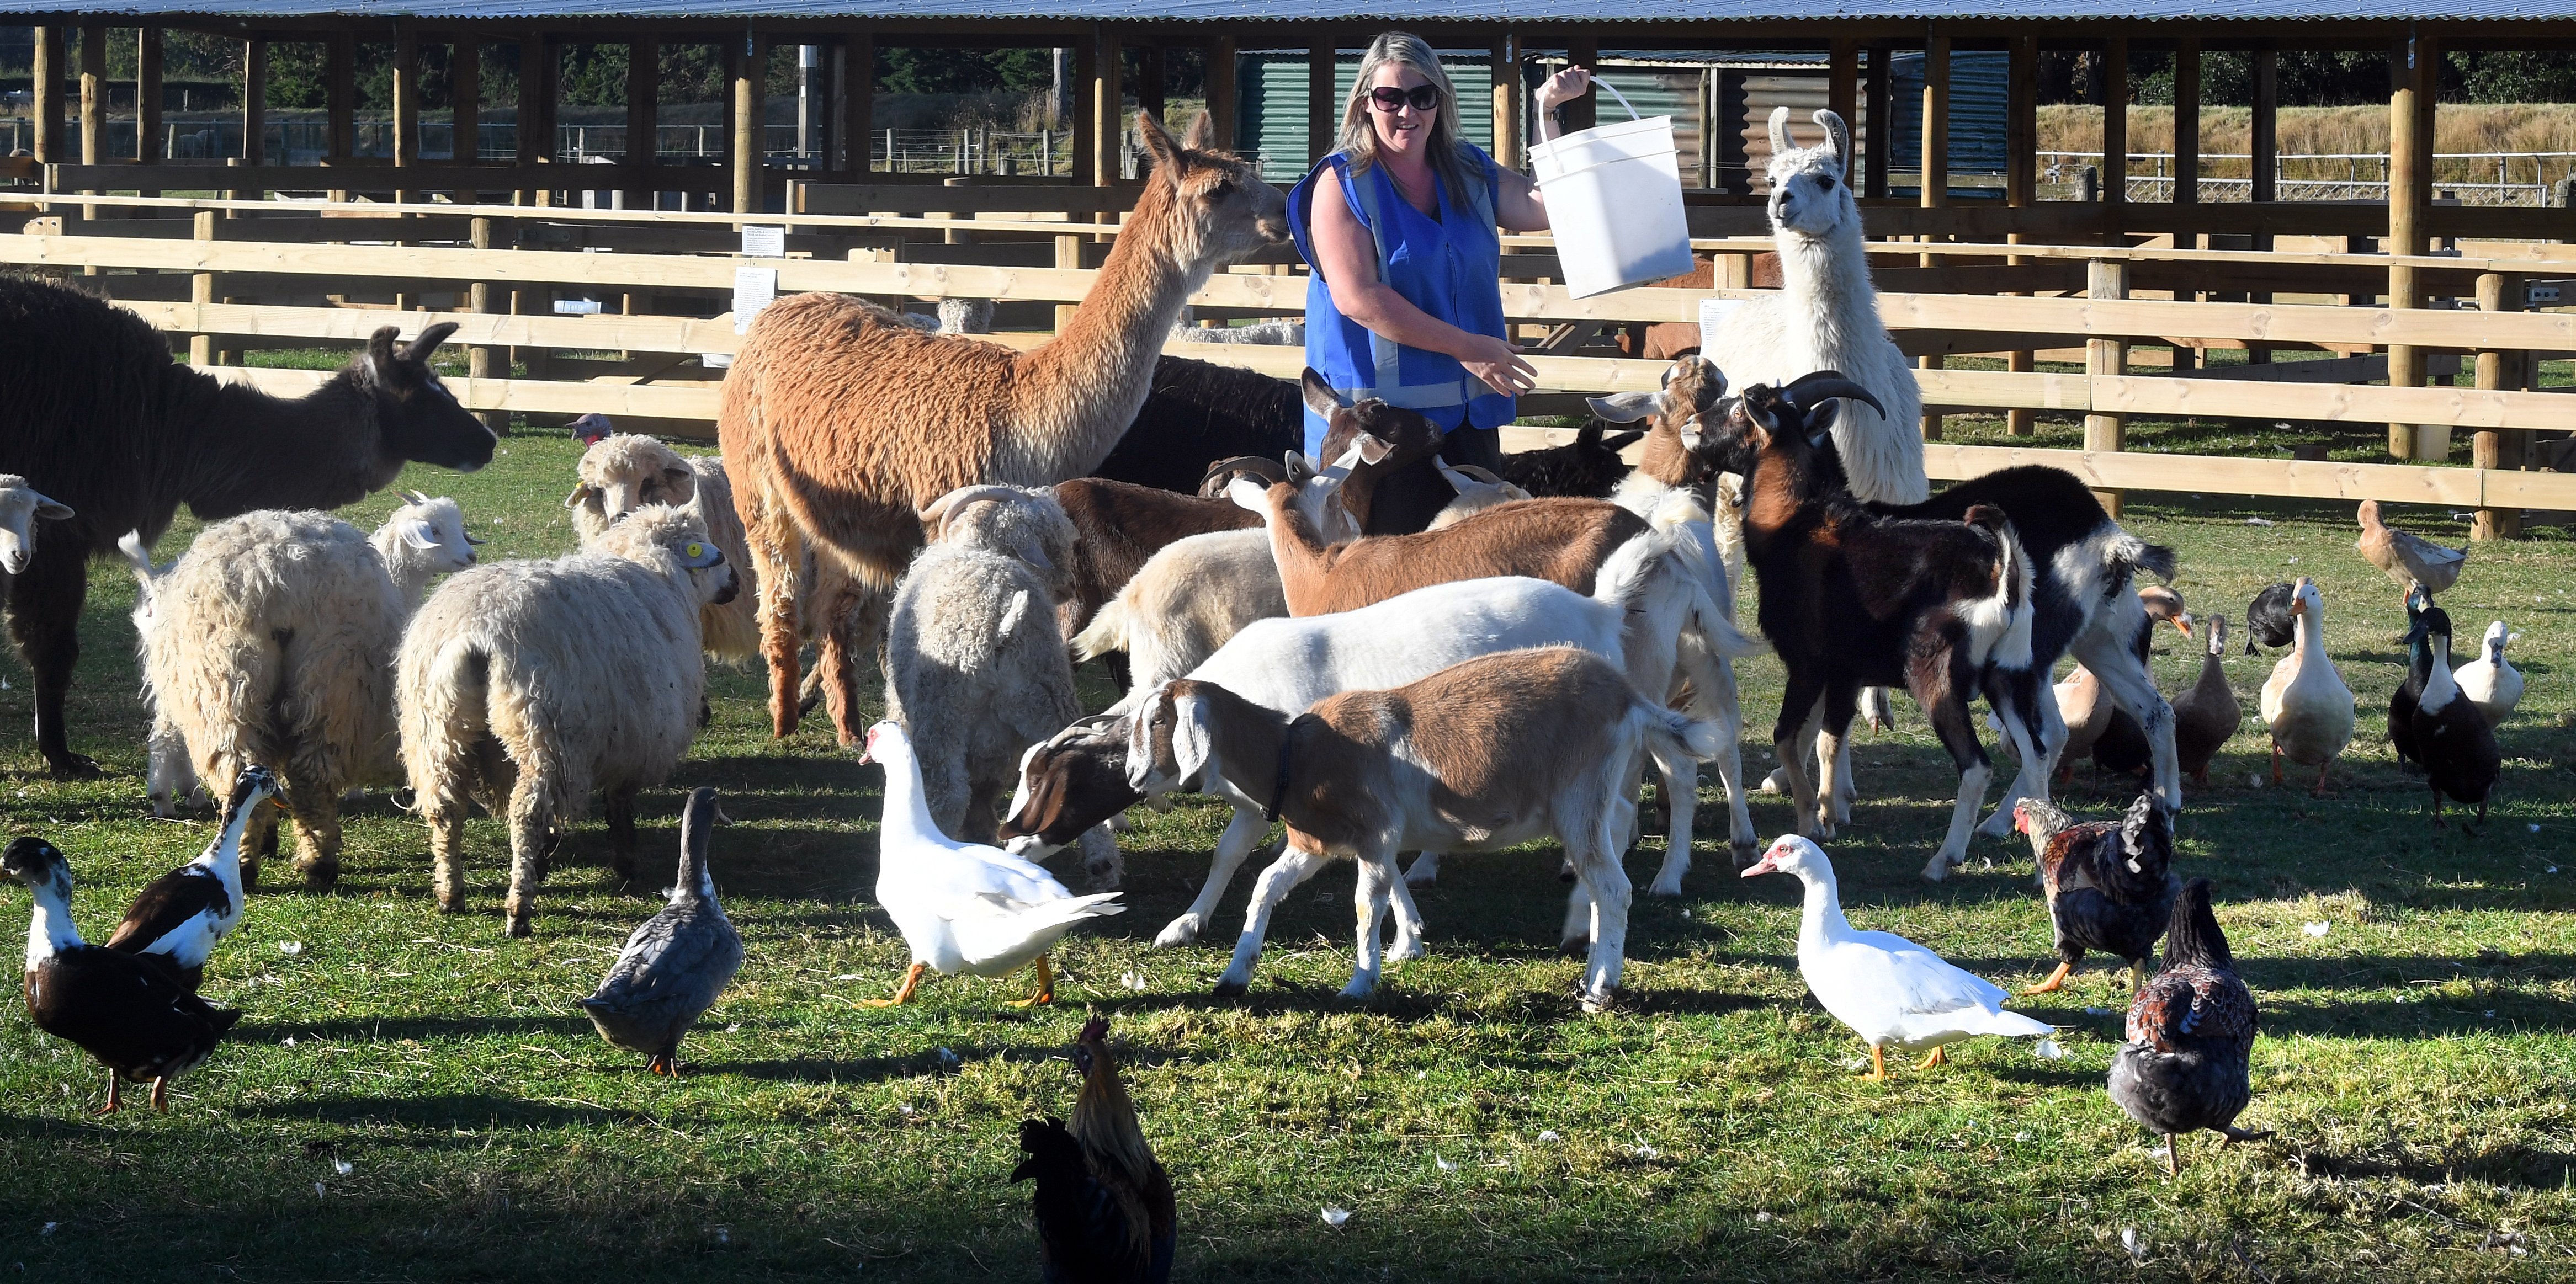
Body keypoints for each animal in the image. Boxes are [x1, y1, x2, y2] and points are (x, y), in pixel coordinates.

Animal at [124, 491, 484, 885]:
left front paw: (271, 835)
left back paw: (232, 839)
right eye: (434, 530)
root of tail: (271, 574)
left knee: (227, 762)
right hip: (332, 676)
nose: (471, 557)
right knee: (303, 770)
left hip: (222, 680)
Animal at [396, 499, 736, 936]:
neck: (658, 573)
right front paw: (626, 864)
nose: (736, 584)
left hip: (438, 730)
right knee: (527, 813)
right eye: (708, 548)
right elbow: (619, 806)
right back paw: (519, 907)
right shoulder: (633, 745)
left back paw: (451, 894)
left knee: (446, 809)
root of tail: (477, 632)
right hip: (544, 730)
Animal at [716, 118, 1288, 751]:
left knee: (835, 611)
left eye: (1252, 172)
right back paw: (784, 719)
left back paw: (847, 729)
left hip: (844, 512)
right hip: (758, 484)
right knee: (780, 598)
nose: (1284, 213)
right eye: (1219, 187)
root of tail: (777, 310)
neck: (1020, 408)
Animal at [886, 486, 1118, 890]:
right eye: (1050, 540)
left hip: (941, 713)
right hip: (1048, 695)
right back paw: (1103, 867)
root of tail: (1002, 621)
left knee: (946, 792)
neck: (981, 549)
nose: (1069, 585)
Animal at [1138, 648, 1720, 1009]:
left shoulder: (1374, 837)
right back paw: (1594, 969)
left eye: (1158, 720)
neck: (1294, 754)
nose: (1134, 777)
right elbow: (1264, 886)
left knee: (1614, 888)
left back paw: (1600, 988)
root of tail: (1630, 698)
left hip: (1580, 797)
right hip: (1589, 806)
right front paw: (1235, 974)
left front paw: (1360, 981)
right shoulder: (1315, 844)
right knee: (1604, 881)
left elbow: (1365, 904)